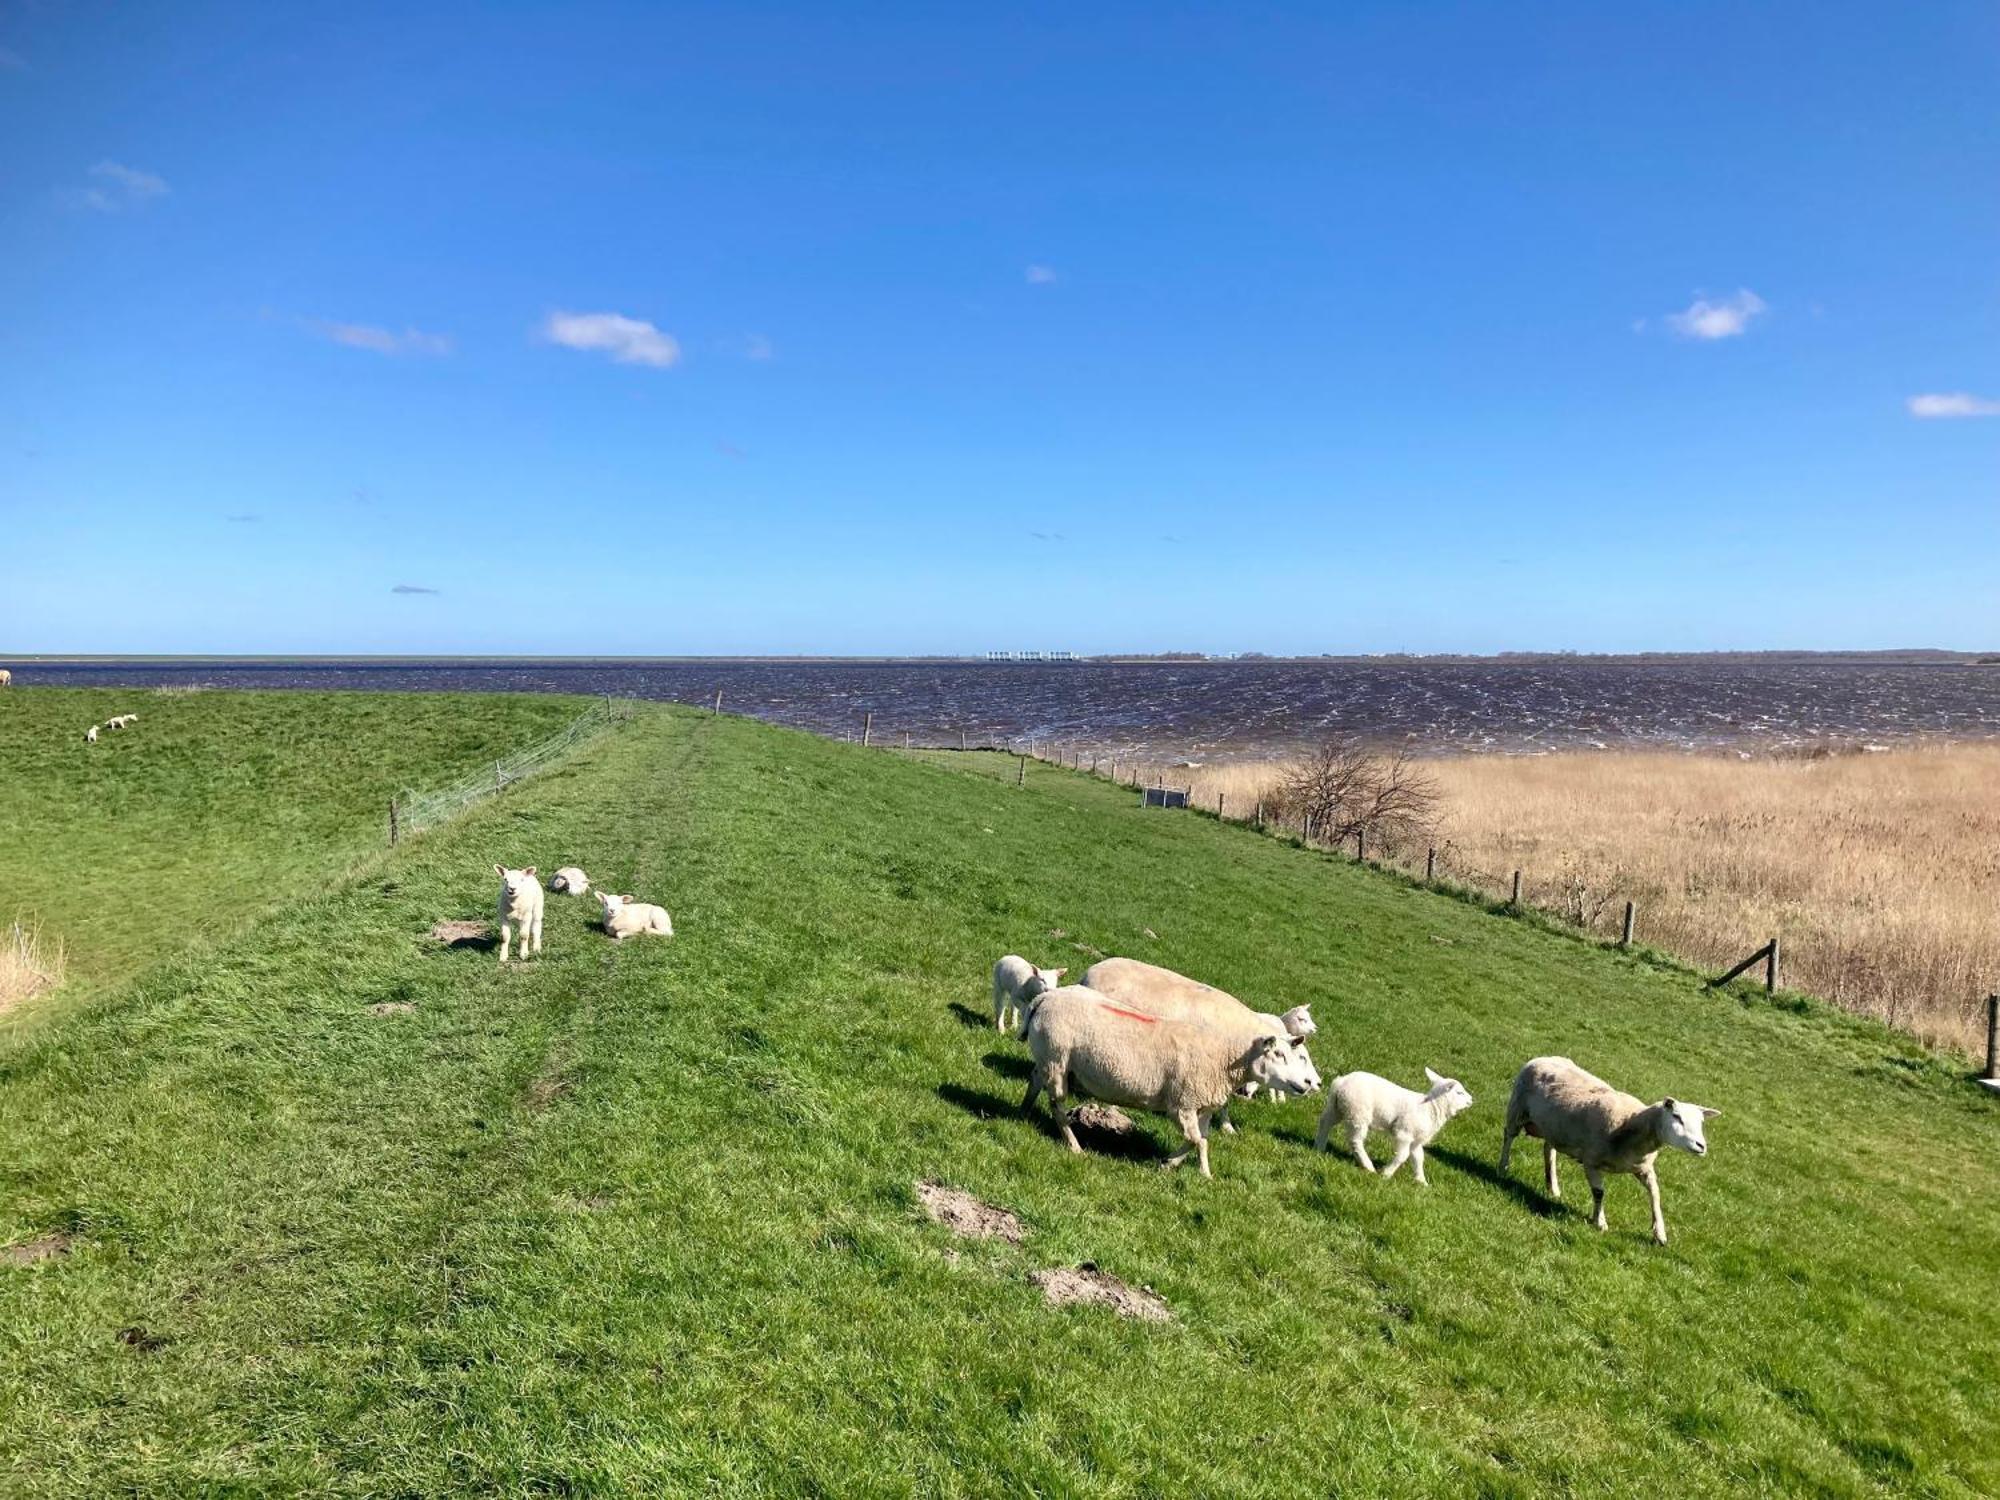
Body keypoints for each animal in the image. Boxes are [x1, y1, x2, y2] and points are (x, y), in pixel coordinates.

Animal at [1016, 988, 1328, 1184]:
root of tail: (1045, 997)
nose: (1307, 1084)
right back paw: (1074, 1145)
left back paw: (1022, 1113)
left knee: (1033, 1078)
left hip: (1047, 1060)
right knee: (1057, 1107)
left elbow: (1202, 1141)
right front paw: (1174, 1165)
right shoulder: (1182, 1104)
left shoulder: (1203, 1107)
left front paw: (1197, 1172)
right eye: (1278, 1055)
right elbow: (1195, 1140)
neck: (1223, 1059)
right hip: (1057, 1062)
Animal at [1320, 1072, 1480, 1184]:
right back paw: (1368, 1166)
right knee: (1355, 1141)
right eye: (1459, 1092)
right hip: (1357, 1113)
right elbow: (1403, 1156)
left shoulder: (1416, 1140)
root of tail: (1341, 1082)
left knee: (1324, 1123)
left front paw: (1422, 1181)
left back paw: (1319, 1148)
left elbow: (1419, 1158)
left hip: (1338, 1107)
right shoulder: (1404, 1133)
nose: (1472, 1100)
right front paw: (1386, 1173)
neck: (1431, 1108)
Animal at [1504, 1048, 1720, 1248]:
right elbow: (1599, 1192)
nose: (1701, 1146)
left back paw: (1553, 1188)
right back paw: (1502, 1169)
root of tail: (1544, 1057)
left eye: (1701, 1122)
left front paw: (1660, 1234)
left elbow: (1655, 1195)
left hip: (1554, 1128)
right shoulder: (1591, 1161)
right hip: (1517, 1108)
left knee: (1549, 1150)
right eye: (1677, 1117)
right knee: (1508, 1136)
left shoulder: (1644, 1169)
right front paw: (1599, 1222)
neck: (1631, 1124)